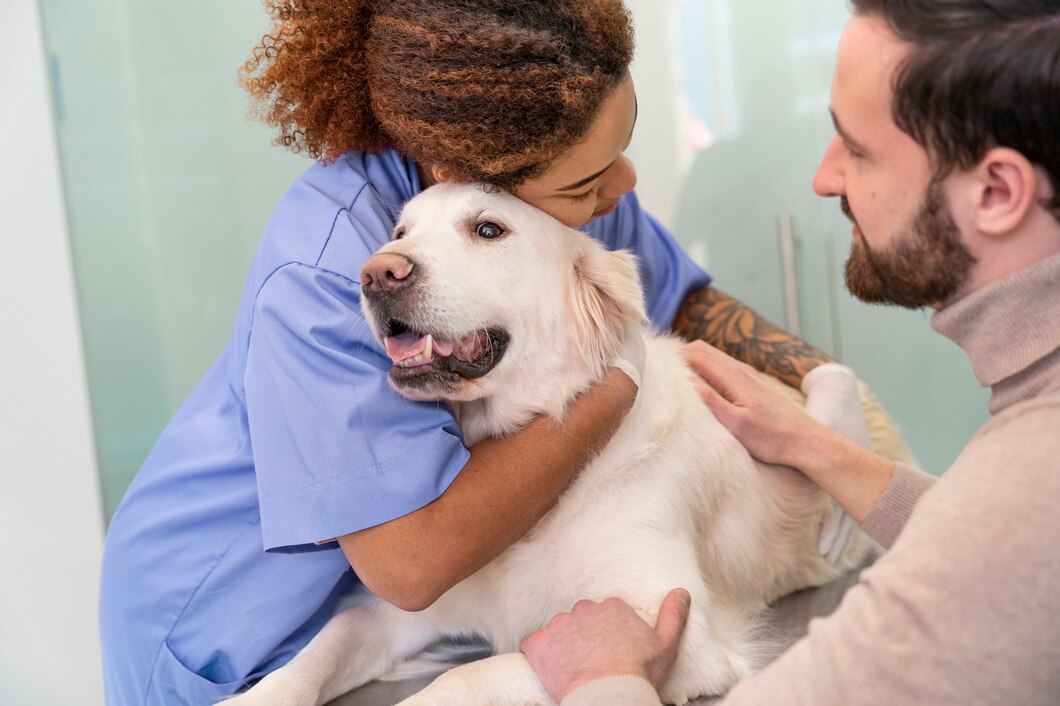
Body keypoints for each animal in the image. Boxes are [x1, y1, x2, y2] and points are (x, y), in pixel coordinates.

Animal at [230, 182, 877, 703]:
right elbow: (318, 649)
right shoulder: (402, 608)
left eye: (488, 229)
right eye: (400, 232)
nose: (375, 273)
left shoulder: (675, 634)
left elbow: (462, 678)